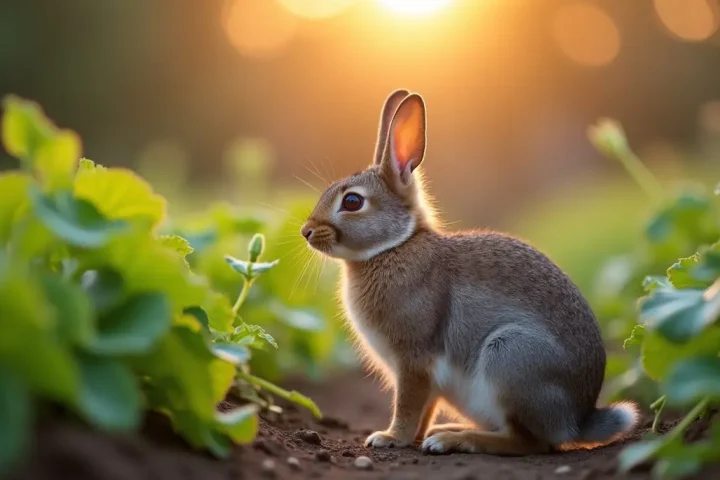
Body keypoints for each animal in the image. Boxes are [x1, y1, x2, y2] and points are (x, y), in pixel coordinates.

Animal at [300, 89, 639, 455]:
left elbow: (407, 405)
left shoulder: (414, 361)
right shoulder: (423, 377)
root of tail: (578, 419)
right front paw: (411, 437)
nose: (306, 231)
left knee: (529, 443)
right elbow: (424, 408)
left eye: (352, 202)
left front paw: (390, 438)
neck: (393, 246)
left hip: (509, 358)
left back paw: (454, 439)